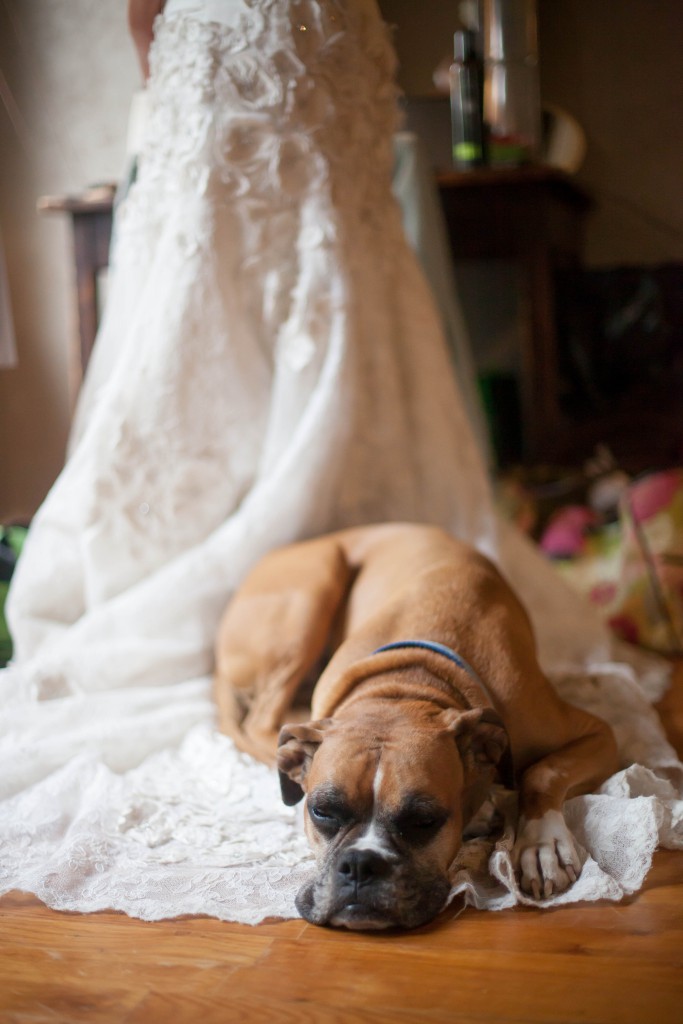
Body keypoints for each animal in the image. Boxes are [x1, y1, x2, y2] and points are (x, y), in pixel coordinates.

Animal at [214, 524, 618, 933]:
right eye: (322, 812)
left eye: (424, 821)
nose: (360, 864)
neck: (409, 682)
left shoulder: (599, 731)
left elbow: (543, 772)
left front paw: (541, 844)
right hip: (312, 591)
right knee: (261, 723)